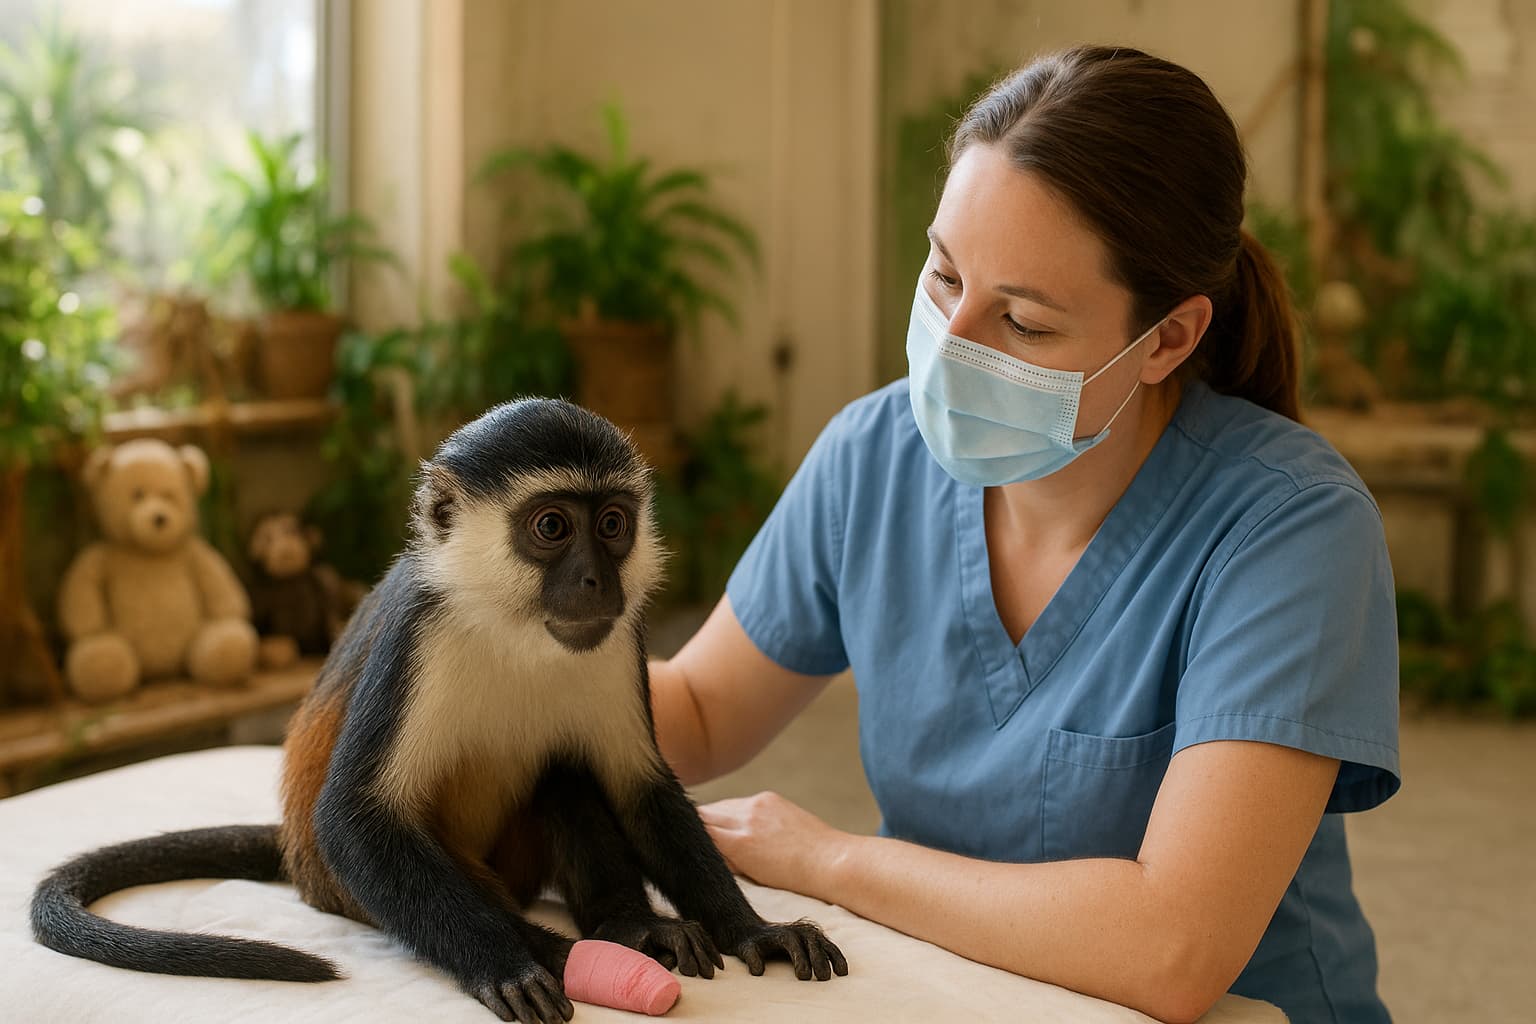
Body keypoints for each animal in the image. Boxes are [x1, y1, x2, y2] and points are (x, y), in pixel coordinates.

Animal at [32, 399, 848, 1024]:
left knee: (567, 770)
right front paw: (510, 965)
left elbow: (638, 787)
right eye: (553, 527)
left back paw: (629, 924)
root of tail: (293, 857)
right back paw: (568, 948)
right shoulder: (418, 634)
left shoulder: (623, 637)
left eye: (613, 524)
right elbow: (355, 820)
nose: (596, 579)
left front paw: (754, 928)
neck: (518, 630)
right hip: (357, 887)